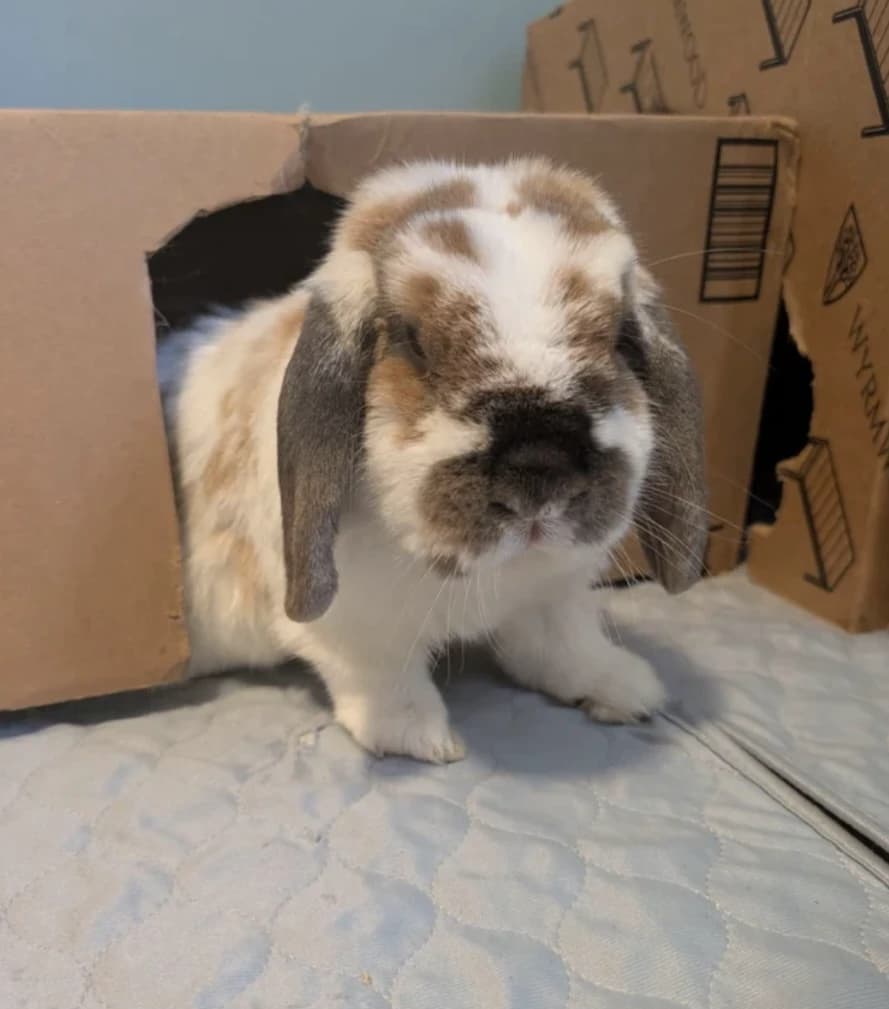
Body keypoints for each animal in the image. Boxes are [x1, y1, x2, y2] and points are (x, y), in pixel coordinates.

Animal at [156, 157, 708, 763]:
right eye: (412, 342)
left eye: (619, 338)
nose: (540, 466)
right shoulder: (358, 628)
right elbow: (386, 680)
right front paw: (425, 740)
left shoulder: (550, 596)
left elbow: (561, 645)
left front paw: (627, 688)